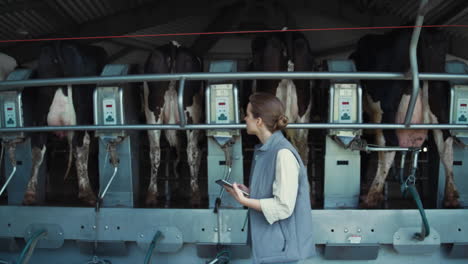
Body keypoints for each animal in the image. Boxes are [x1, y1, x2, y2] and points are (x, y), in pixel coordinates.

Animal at [22, 41, 106, 206]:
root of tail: (59, 45)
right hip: (79, 116)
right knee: (80, 146)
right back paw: (87, 192)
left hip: (40, 117)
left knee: (37, 149)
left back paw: (30, 193)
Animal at [144, 41, 203, 207]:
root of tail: (173, 46)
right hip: (192, 114)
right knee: (191, 151)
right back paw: (195, 193)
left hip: (153, 113)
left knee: (155, 151)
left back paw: (151, 194)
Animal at [350, 27, 458, 207]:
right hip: (439, 104)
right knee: (446, 144)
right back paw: (451, 197)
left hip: (384, 110)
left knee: (389, 145)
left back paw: (372, 195)